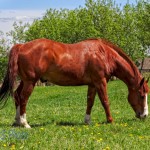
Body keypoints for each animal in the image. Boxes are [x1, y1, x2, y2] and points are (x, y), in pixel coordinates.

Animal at [0, 37, 148, 127]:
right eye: (142, 95)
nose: (145, 115)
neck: (103, 54)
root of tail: (21, 46)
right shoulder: (101, 82)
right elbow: (105, 101)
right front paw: (110, 120)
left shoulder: (92, 84)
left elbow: (90, 102)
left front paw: (87, 121)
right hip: (30, 81)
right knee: (23, 98)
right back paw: (25, 123)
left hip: (24, 81)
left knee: (17, 96)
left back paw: (17, 121)